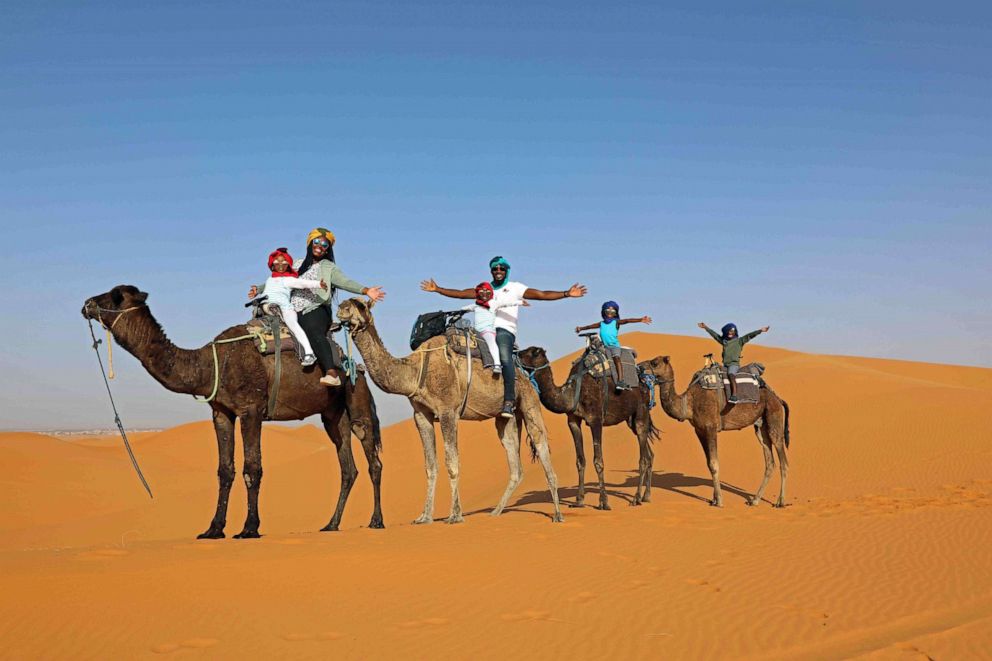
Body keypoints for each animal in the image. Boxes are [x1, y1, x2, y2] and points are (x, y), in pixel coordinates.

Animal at [82, 284, 384, 536]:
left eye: (116, 296)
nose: (87, 304)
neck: (210, 364)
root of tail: (351, 362)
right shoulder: (221, 412)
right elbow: (224, 471)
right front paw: (213, 529)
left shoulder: (251, 410)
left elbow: (253, 468)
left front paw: (250, 528)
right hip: (332, 414)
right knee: (347, 467)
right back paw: (331, 524)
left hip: (355, 395)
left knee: (371, 455)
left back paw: (376, 521)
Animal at [338, 298, 560, 520]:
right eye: (345, 303)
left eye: (360, 305)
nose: (341, 309)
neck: (415, 372)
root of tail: (523, 373)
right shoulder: (421, 414)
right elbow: (430, 466)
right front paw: (424, 517)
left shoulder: (448, 411)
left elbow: (452, 463)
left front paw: (455, 515)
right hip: (506, 416)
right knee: (515, 462)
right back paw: (496, 512)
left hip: (529, 400)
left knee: (541, 444)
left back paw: (557, 514)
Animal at [520, 346, 660, 510]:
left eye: (533, 352)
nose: (516, 352)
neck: (572, 392)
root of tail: (645, 380)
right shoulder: (573, 420)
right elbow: (580, 460)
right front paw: (579, 500)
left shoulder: (596, 420)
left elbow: (598, 461)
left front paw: (603, 501)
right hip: (630, 419)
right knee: (649, 454)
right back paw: (646, 496)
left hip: (641, 411)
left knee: (643, 457)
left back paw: (636, 498)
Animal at [640, 356, 796, 506]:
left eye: (654, 363)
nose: (639, 367)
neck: (689, 402)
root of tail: (778, 398)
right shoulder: (699, 430)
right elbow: (709, 463)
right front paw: (713, 499)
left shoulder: (711, 428)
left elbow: (714, 464)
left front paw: (719, 501)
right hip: (760, 425)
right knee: (769, 461)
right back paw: (755, 500)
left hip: (774, 416)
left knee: (783, 459)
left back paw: (781, 501)